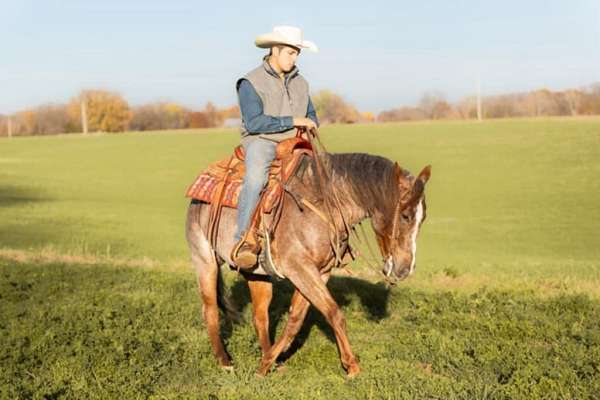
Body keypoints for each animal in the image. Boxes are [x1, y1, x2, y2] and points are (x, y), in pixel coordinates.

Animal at [184, 151, 432, 378]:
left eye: (423, 218)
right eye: (405, 216)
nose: (405, 269)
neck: (325, 203)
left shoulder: (320, 272)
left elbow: (296, 319)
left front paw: (267, 363)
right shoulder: (299, 268)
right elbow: (334, 313)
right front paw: (352, 366)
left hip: (256, 274)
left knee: (260, 316)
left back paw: (269, 358)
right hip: (205, 261)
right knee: (210, 311)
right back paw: (225, 362)